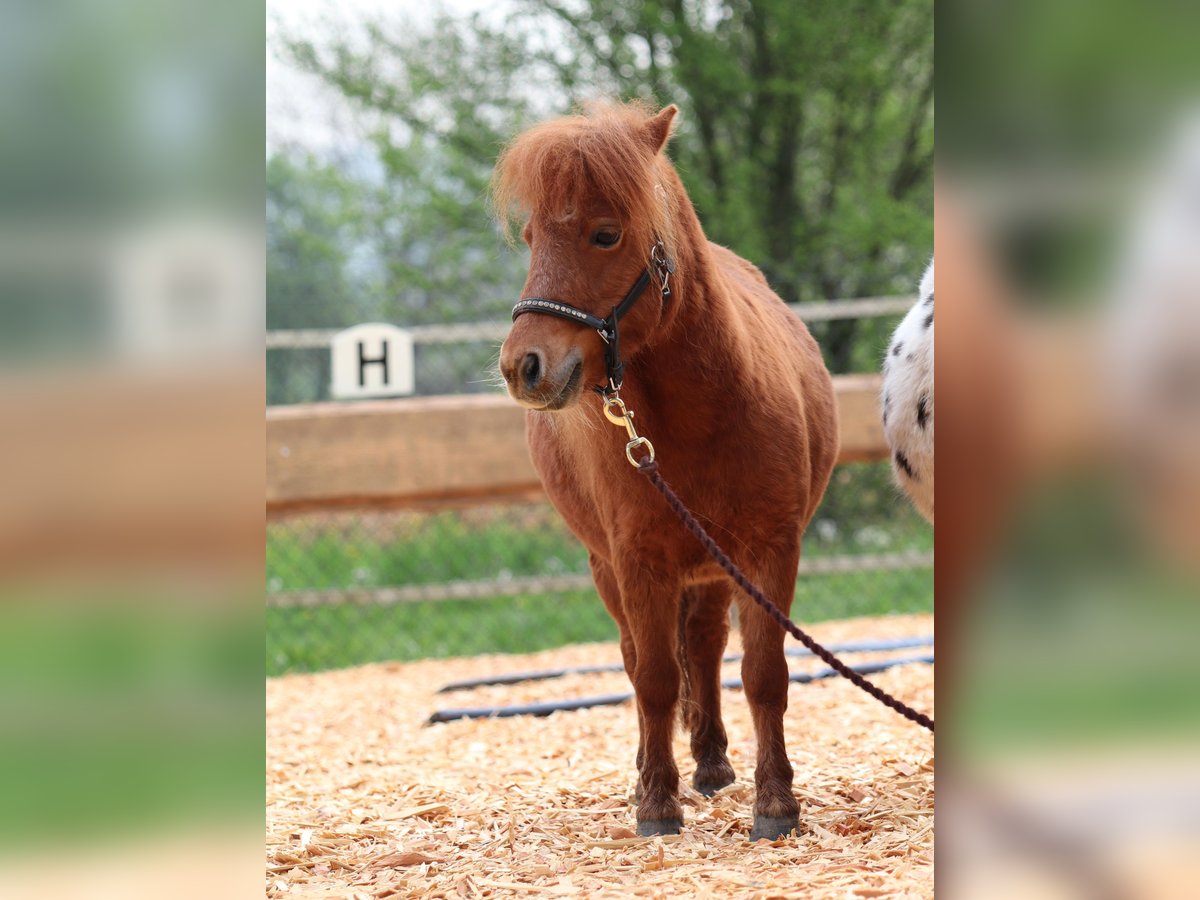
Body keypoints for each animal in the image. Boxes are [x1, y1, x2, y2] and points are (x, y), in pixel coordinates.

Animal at [492, 102, 840, 844]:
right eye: (531, 237)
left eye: (604, 233)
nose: (522, 366)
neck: (698, 414)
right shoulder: (637, 561)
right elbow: (652, 677)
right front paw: (655, 802)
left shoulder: (769, 552)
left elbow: (764, 674)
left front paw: (775, 803)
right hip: (611, 569)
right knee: (639, 659)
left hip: (712, 571)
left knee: (705, 649)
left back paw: (710, 763)